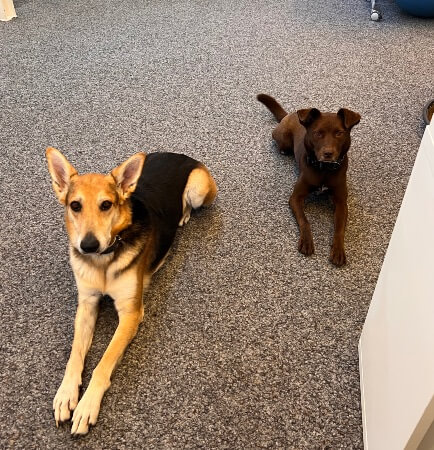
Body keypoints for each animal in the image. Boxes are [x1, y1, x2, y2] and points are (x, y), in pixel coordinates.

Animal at [46, 147, 217, 435]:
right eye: (75, 206)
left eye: (106, 205)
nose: (88, 246)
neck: (103, 261)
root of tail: (180, 154)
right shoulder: (87, 304)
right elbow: (75, 355)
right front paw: (66, 393)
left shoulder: (131, 313)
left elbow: (103, 363)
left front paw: (87, 405)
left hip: (198, 188)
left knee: (189, 204)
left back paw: (183, 215)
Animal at [257, 94, 360, 266]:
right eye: (318, 133)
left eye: (339, 133)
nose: (328, 153)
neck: (324, 169)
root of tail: (289, 114)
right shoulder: (295, 197)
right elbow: (305, 221)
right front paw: (306, 242)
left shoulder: (341, 202)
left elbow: (339, 229)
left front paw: (338, 251)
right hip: (283, 138)